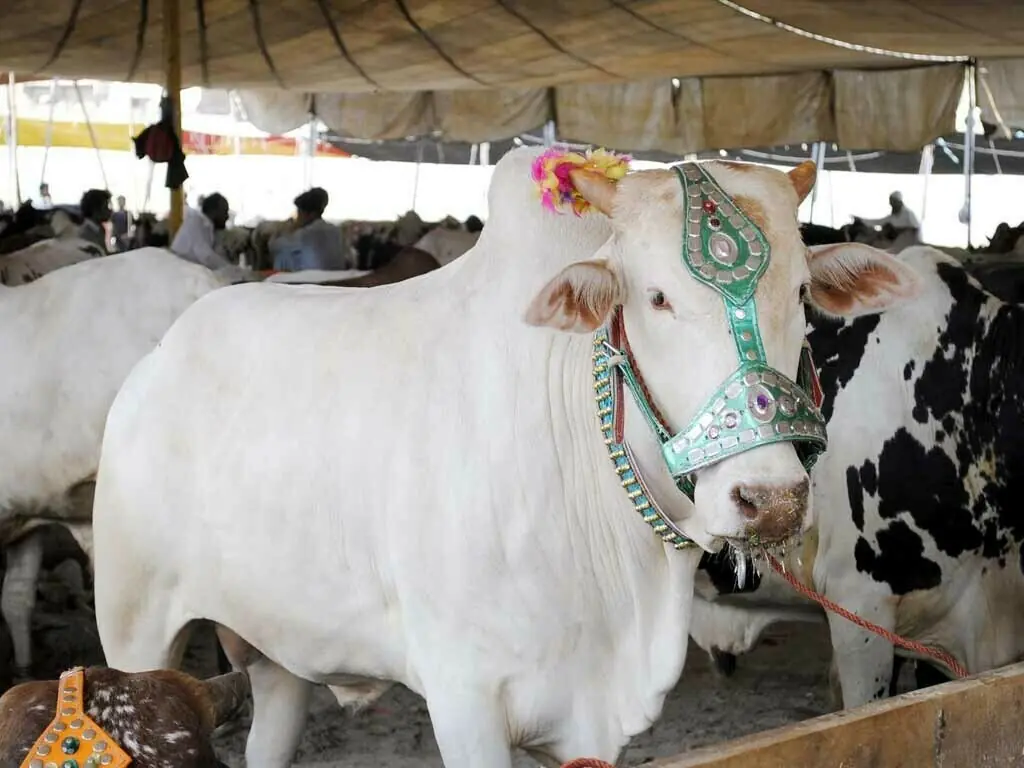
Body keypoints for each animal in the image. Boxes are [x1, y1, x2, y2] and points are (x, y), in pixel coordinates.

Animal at [91, 147, 917, 767]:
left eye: (803, 293)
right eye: (654, 297)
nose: (770, 498)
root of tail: (158, 360)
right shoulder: (466, 703)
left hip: (275, 652)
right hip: (133, 631)